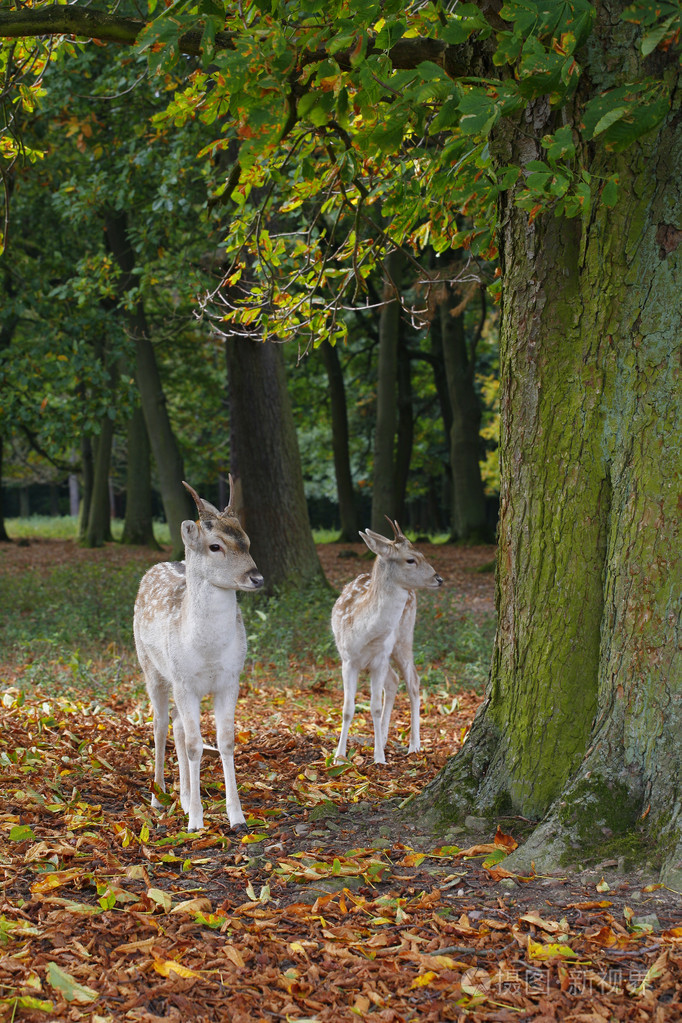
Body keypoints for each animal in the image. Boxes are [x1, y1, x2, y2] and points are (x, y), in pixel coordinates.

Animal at [133, 478, 263, 830]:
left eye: (247, 541)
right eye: (215, 546)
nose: (256, 578)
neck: (207, 651)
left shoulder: (230, 680)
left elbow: (225, 741)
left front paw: (237, 817)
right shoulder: (184, 682)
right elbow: (194, 746)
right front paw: (195, 822)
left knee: (177, 726)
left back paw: (183, 796)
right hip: (151, 668)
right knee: (160, 724)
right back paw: (159, 797)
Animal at [331, 523, 443, 765]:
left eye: (423, 553)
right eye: (411, 559)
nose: (439, 579)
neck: (364, 633)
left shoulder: (380, 658)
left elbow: (374, 706)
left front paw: (379, 759)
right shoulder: (348, 660)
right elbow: (347, 709)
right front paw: (339, 757)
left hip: (404, 638)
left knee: (412, 681)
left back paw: (414, 745)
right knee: (394, 680)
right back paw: (382, 739)